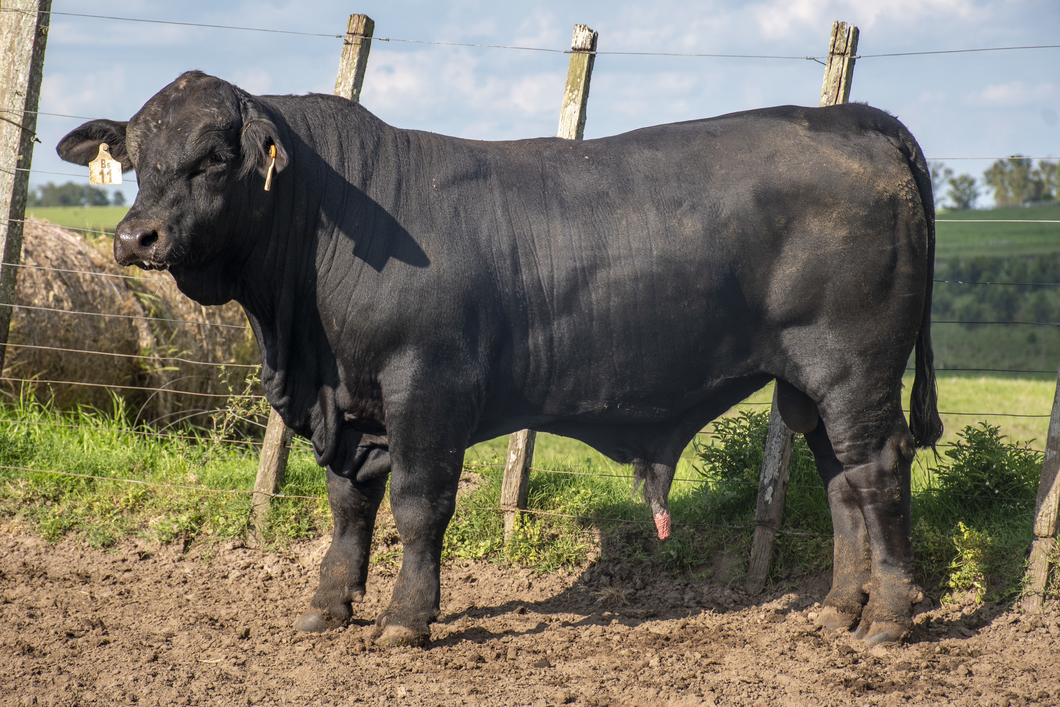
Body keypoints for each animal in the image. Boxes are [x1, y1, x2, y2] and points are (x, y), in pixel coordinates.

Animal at [58, 72, 941, 648]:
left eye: (214, 156)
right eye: (134, 156)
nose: (135, 237)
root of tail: (851, 117)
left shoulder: (427, 385)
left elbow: (418, 506)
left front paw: (405, 619)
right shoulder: (351, 404)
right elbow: (348, 506)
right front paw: (329, 605)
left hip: (854, 368)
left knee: (878, 471)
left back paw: (888, 619)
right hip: (809, 385)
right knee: (841, 482)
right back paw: (837, 609)